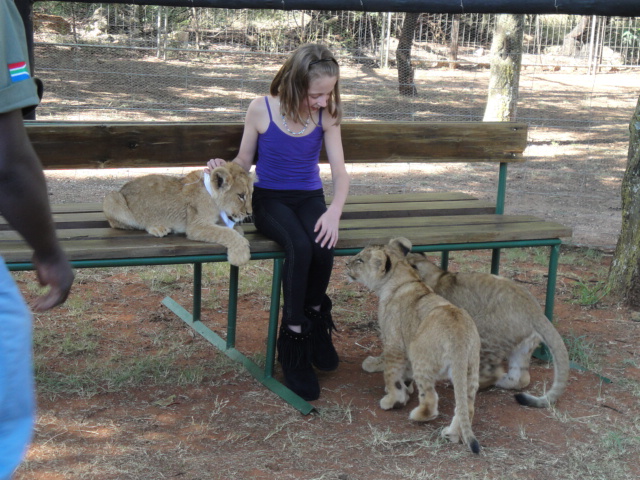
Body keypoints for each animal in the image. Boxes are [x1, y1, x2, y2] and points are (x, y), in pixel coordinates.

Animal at [103, 163, 254, 266]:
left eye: (250, 194)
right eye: (241, 196)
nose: (249, 213)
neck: (212, 196)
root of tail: (122, 189)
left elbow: (229, 229)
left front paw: (237, 228)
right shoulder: (196, 226)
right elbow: (226, 233)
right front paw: (240, 255)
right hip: (111, 198)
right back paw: (157, 227)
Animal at [346, 238, 481, 454]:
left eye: (359, 260)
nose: (345, 264)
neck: (403, 278)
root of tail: (459, 338)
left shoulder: (395, 343)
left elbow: (391, 375)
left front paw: (393, 400)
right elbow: (404, 375)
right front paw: (406, 390)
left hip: (419, 352)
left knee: (430, 400)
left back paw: (418, 415)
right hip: (471, 368)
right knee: (466, 406)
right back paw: (451, 434)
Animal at [363, 246, 570, 408]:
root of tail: (535, 310)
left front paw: (373, 364)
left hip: (485, 336)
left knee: (489, 374)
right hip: (522, 347)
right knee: (521, 378)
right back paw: (505, 381)